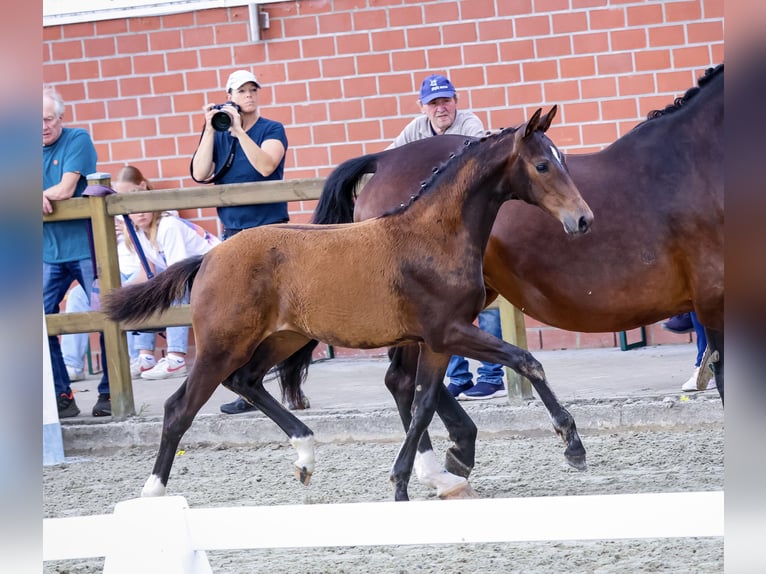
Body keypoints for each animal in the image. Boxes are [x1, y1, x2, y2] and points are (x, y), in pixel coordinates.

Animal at [103, 108, 592, 504]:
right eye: (543, 165)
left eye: (563, 161)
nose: (583, 219)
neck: (433, 236)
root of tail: (208, 258)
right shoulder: (449, 331)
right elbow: (525, 360)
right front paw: (572, 444)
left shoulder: (436, 340)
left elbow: (423, 403)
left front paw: (406, 482)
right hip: (223, 345)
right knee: (179, 409)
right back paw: (153, 494)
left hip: (283, 337)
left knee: (246, 381)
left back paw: (305, 455)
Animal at [308, 63, 728, 496]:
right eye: (542, 165)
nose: (582, 219)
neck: (697, 163)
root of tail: (385, 158)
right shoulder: (715, 302)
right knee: (404, 381)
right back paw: (440, 468)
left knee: (408, 381)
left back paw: (455, 456)